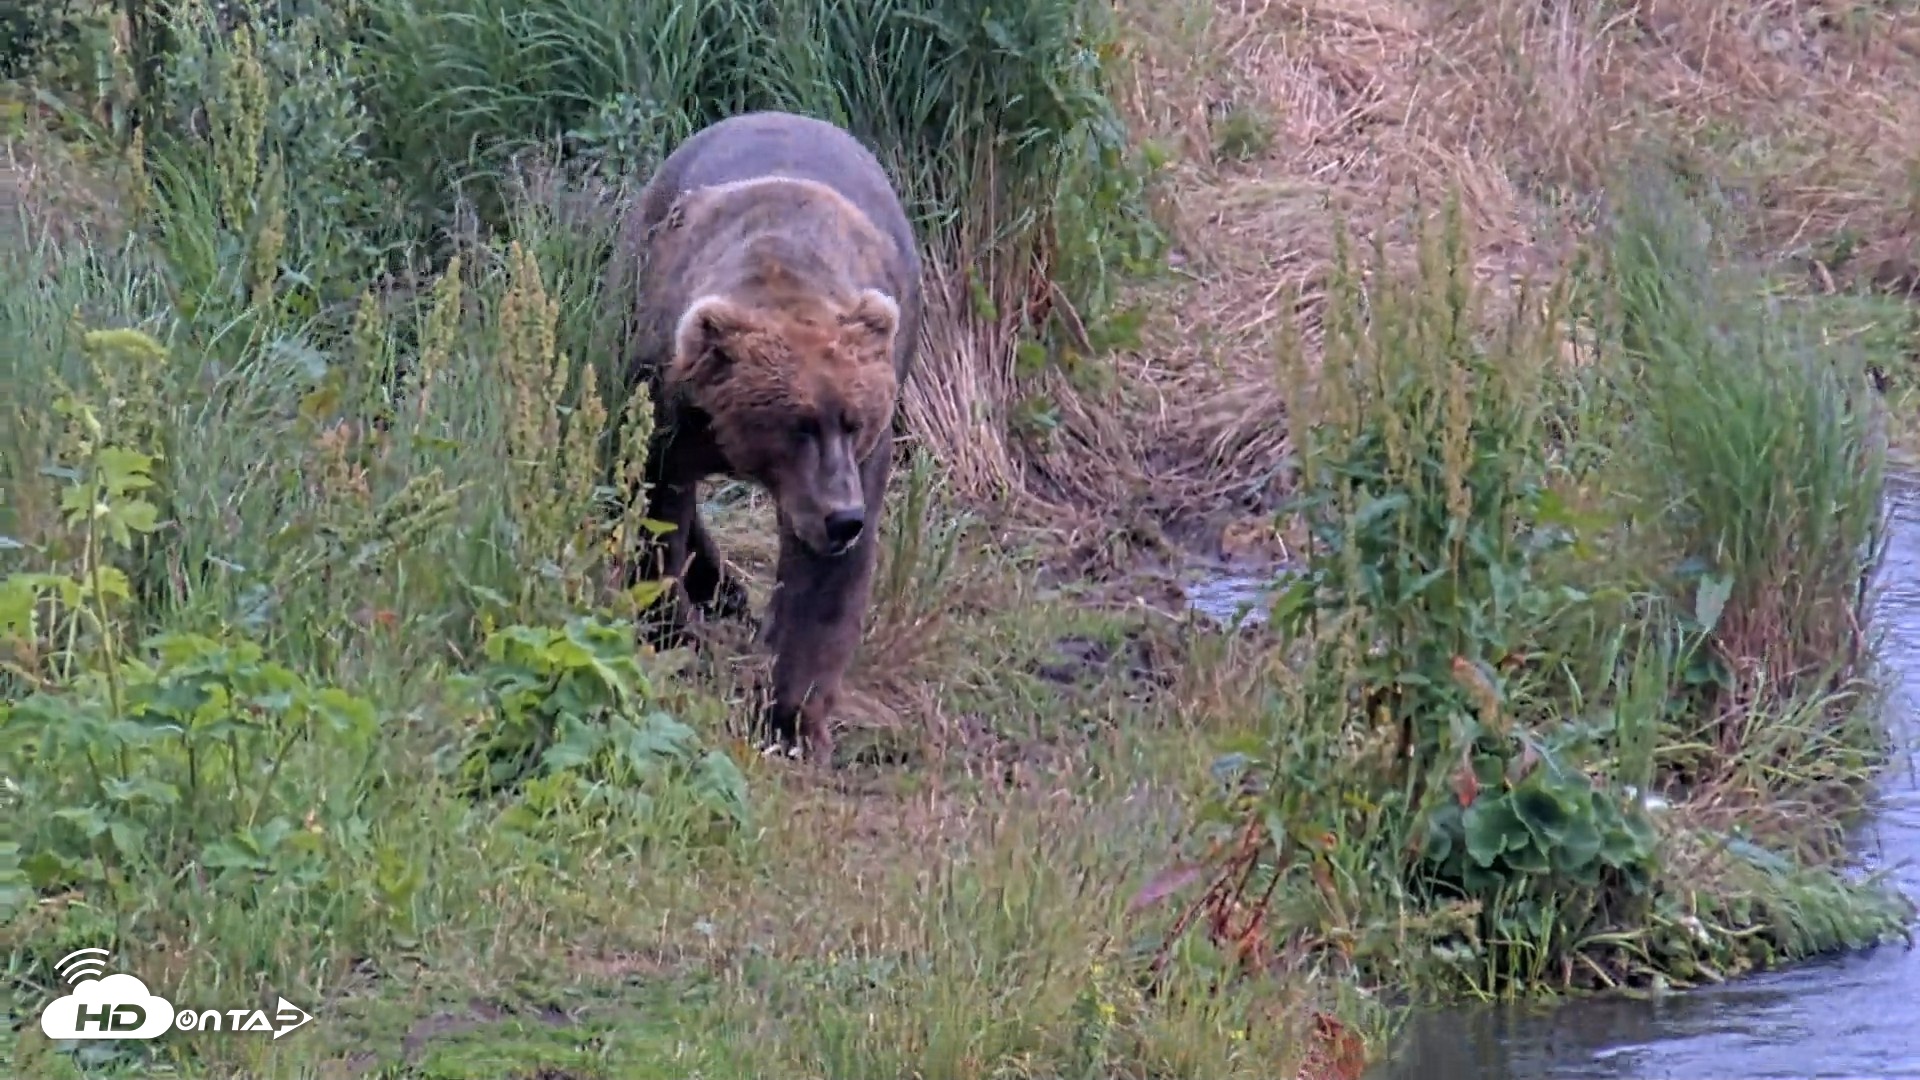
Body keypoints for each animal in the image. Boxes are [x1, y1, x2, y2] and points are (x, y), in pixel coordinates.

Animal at [610, 110, 925, 765]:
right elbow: (653, 504)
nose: (843, 518)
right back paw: (719, 586)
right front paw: (673, 631)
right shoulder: (665, 397)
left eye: (854, 419)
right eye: (797, 423)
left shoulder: (859, 461)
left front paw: (792, 718)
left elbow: (824, 585)